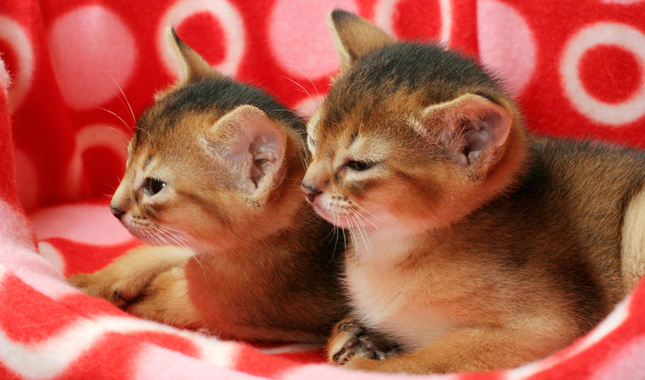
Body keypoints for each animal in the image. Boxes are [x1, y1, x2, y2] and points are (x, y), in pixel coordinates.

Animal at [68, 30, 348, 344]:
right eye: (127, 161)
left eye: (154, 186)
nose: (114, 208)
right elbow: (154, 251)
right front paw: (98, 280)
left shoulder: (227, 309)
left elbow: (172, 300)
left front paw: (143, 295)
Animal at [300, 9, 644, 374]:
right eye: (313, 140)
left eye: (360, 164)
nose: (307, 188)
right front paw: (360, 338)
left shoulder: (550, 325)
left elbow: (431, 361)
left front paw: (370, 365)